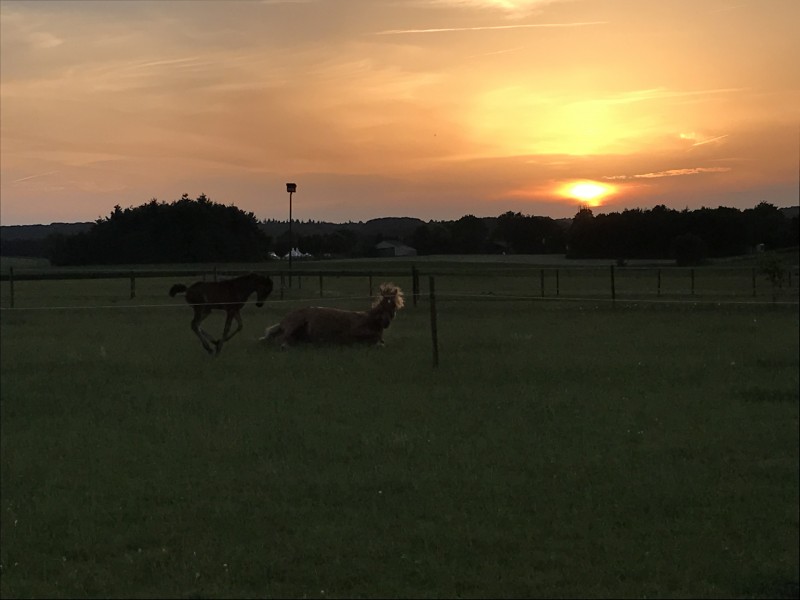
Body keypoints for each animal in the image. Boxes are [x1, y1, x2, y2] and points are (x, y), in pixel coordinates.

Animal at [260, 282, 404, 349]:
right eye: (382, 306)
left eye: (394, 306)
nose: (386, 322)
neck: (369, 320)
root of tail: (282, 322)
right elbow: (376, 343)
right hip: (294, 324)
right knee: (280, 339)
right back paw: (285, 346)